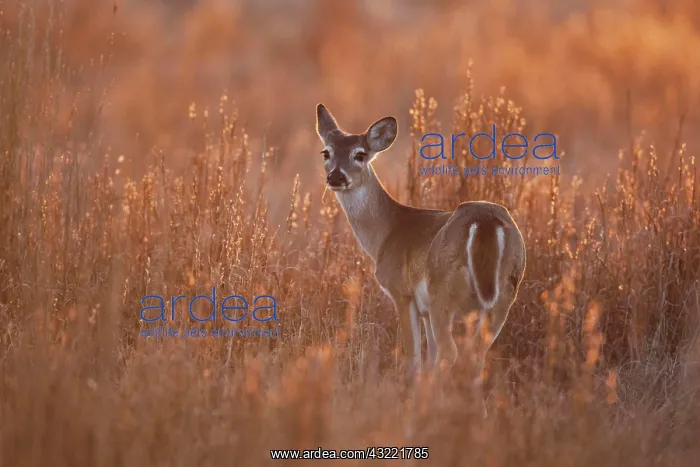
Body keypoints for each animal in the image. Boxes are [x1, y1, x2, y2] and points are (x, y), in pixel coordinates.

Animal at [315, 103, 526, 405]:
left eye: (360, 154)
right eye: (326, 152)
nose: (336, 177)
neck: (387, 232)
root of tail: (485, 221)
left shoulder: (402, 292)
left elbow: (414, 356)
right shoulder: (425, 309)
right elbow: (430, 357)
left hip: (443, 292)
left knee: (452, 353)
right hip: (504, 293)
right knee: (475, 357)